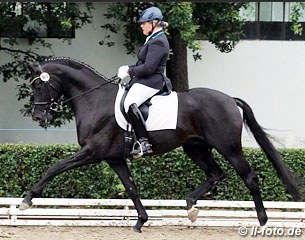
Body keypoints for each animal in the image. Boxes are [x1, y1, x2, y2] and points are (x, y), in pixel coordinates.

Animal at [20, 57, 300, 232]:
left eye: (40, 86)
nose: (39, 116)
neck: (94, 100)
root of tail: (230, 99)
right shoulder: (114, 158)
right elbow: (131, 188)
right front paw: (141, 221)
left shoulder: (92, 152)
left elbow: (54, 168)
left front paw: (28, 199)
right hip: (195, 147)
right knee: (215, 173)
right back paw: (190, 207)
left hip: (229, 148)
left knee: (249, 177)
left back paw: (262, 221)